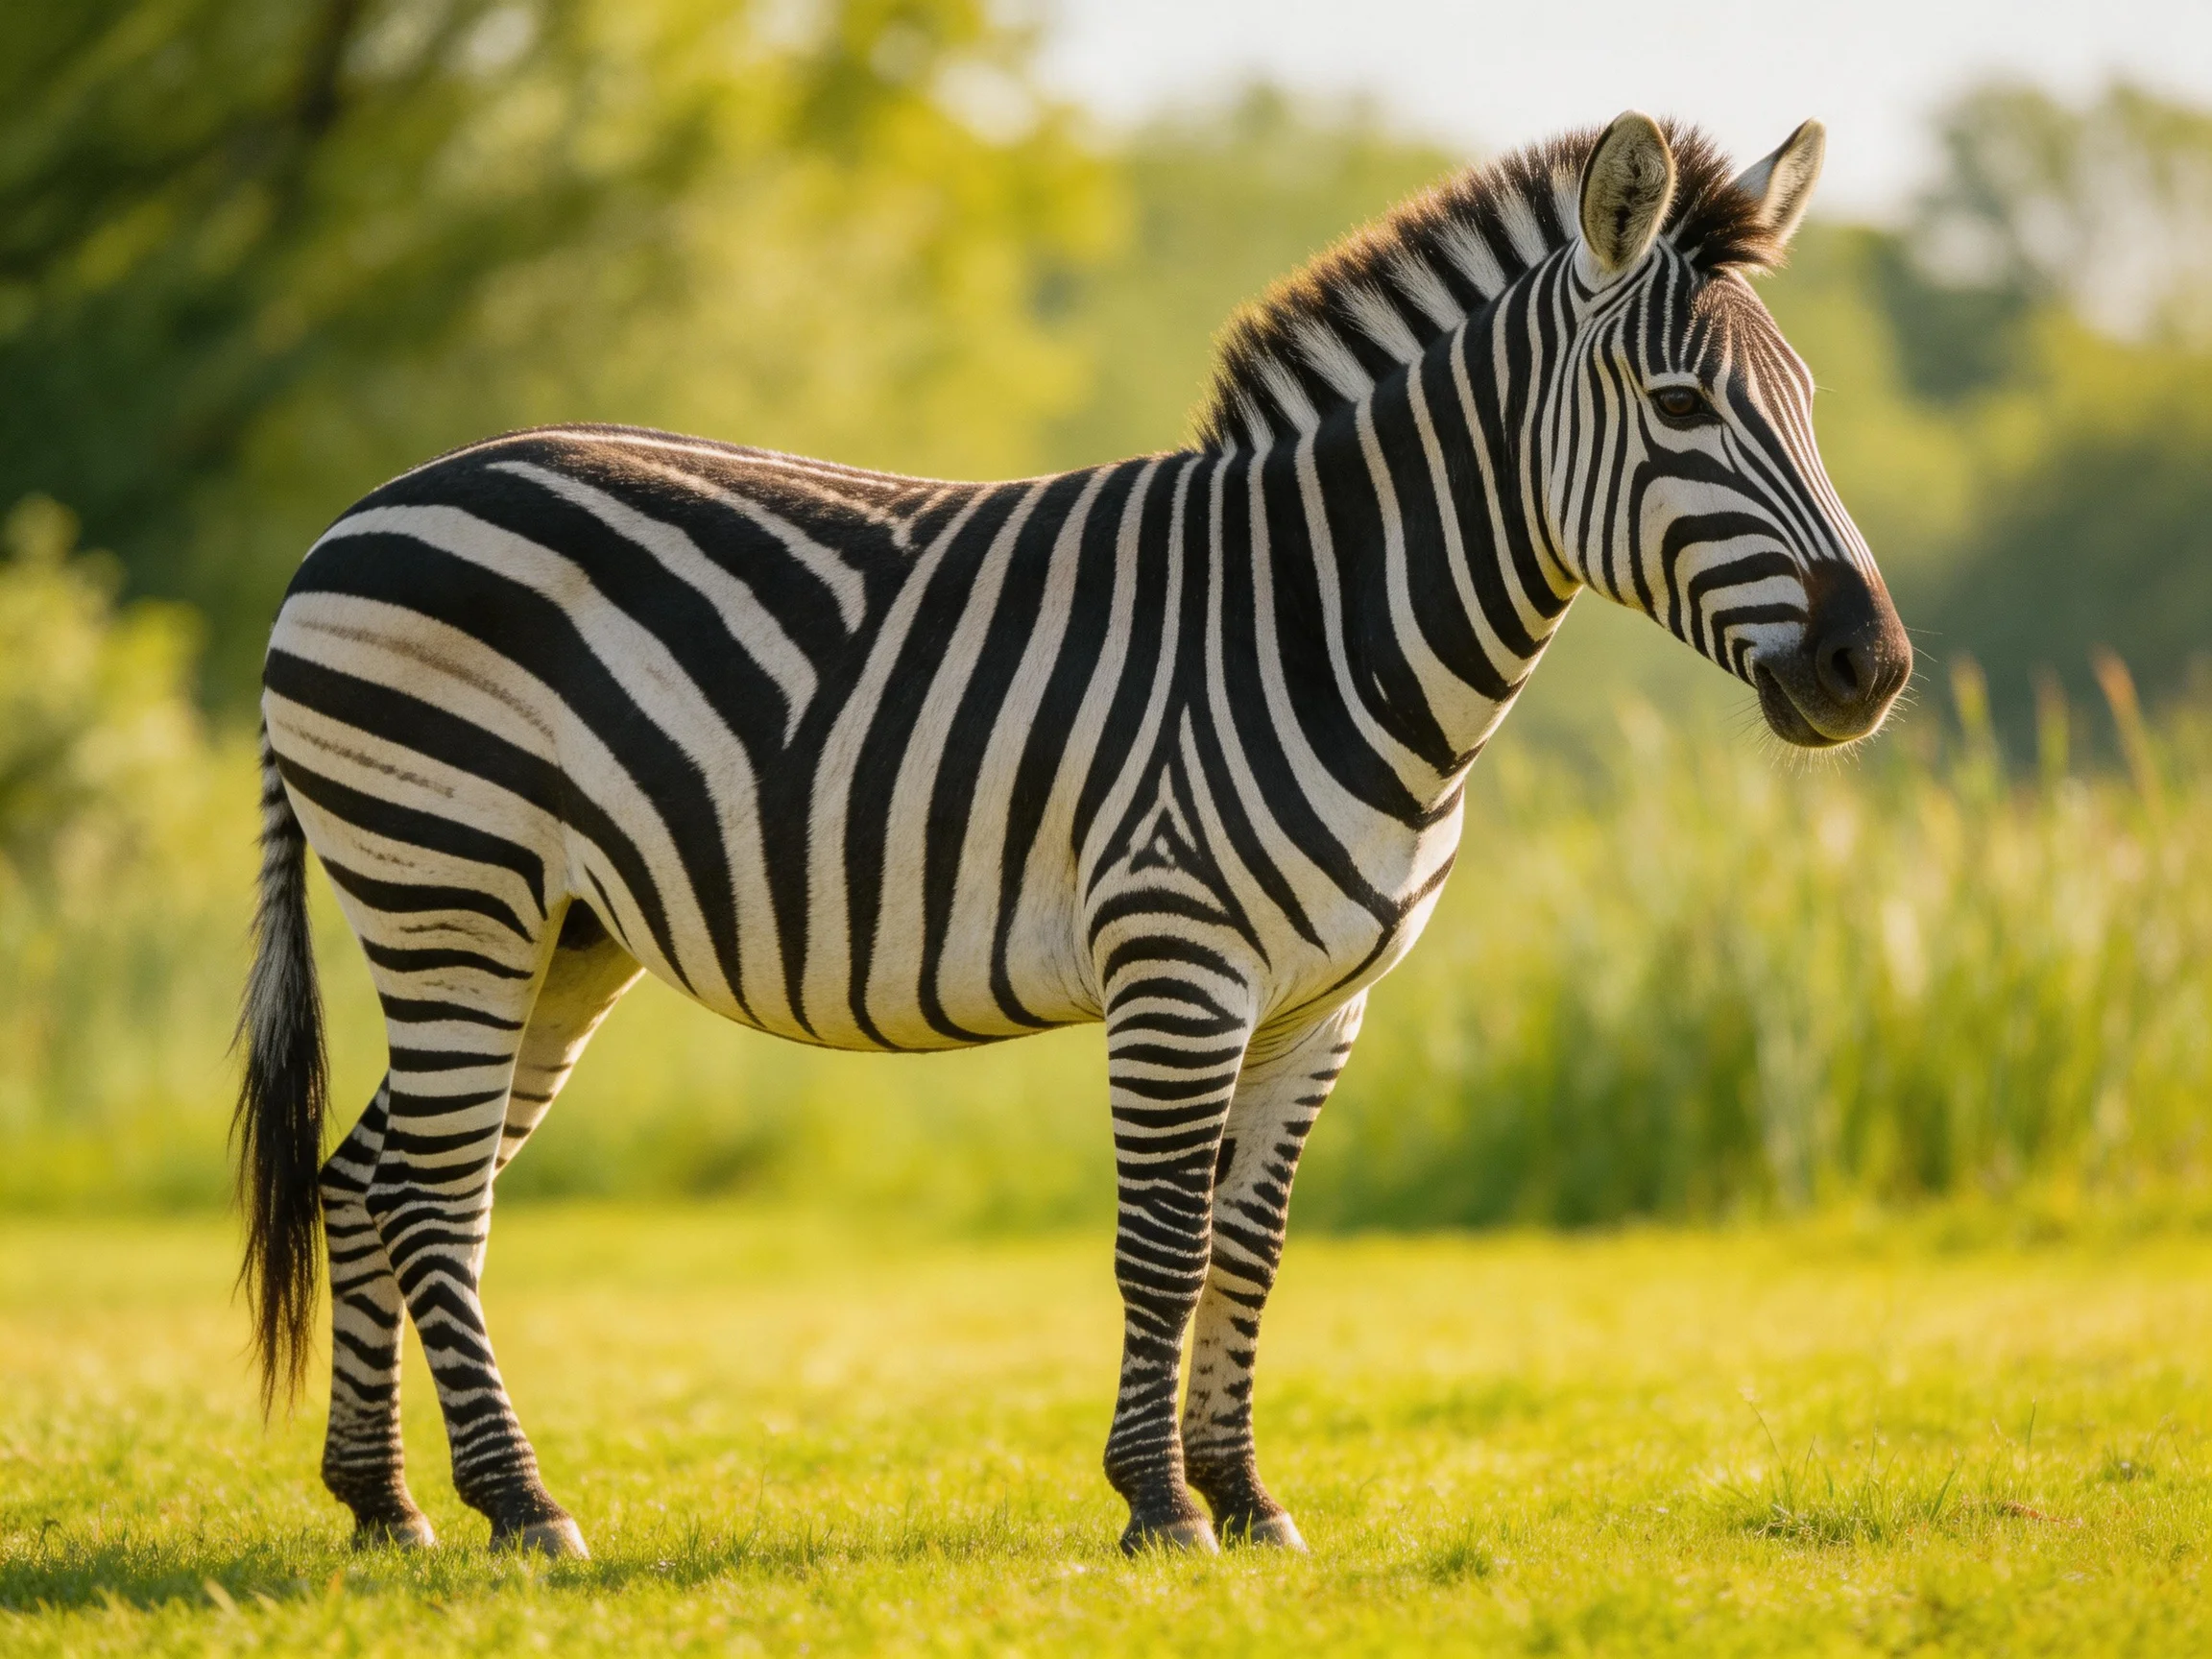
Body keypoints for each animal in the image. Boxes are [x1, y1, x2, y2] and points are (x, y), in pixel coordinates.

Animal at [235, 110, 1909, 1559]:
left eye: (1812, 411)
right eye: (1682, 408)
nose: (1872, 668)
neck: (1324, 630)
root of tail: (345, 525)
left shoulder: (1323, 1005)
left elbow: (1247, 1250)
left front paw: (1246, 1497)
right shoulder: (1179, 963)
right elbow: (1159, 1242)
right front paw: (1161, 1508)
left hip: (558, 935)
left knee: (373, 1179)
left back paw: (386, 1505)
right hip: (450, 886)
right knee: (428, 1194)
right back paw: (523, 1510)